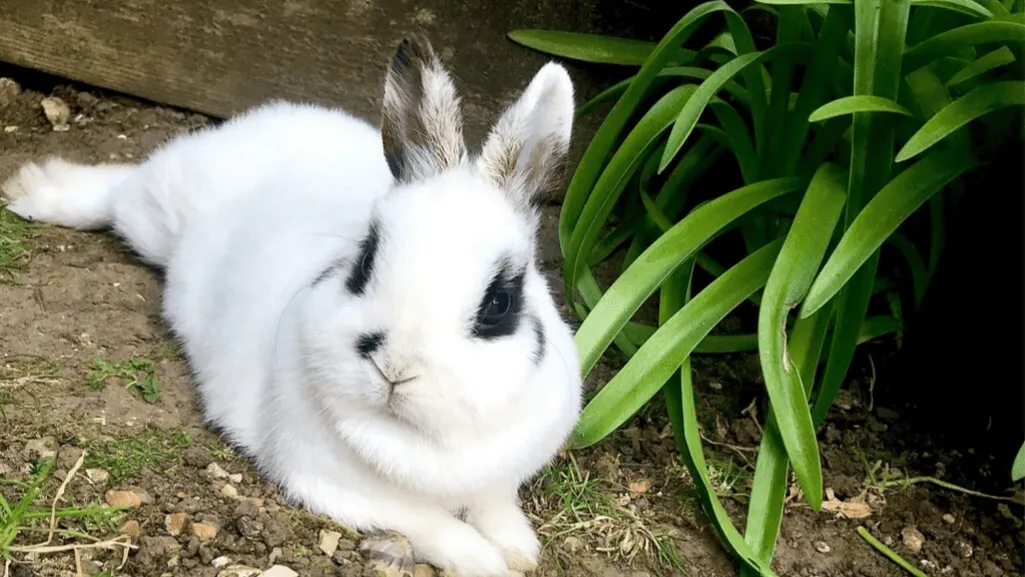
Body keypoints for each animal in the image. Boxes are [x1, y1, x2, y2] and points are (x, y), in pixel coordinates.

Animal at [2, 36, 583, 576]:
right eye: (364, 262)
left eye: (500, 302)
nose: (395, 368)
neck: (418, 440)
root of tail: (264, 119)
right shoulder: (339, 486)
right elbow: (434, 526)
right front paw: (489, 561)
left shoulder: (500, 480)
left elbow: (496, 507)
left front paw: (519, 549)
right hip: (156, 210)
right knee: (117, 192)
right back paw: (33, 189)